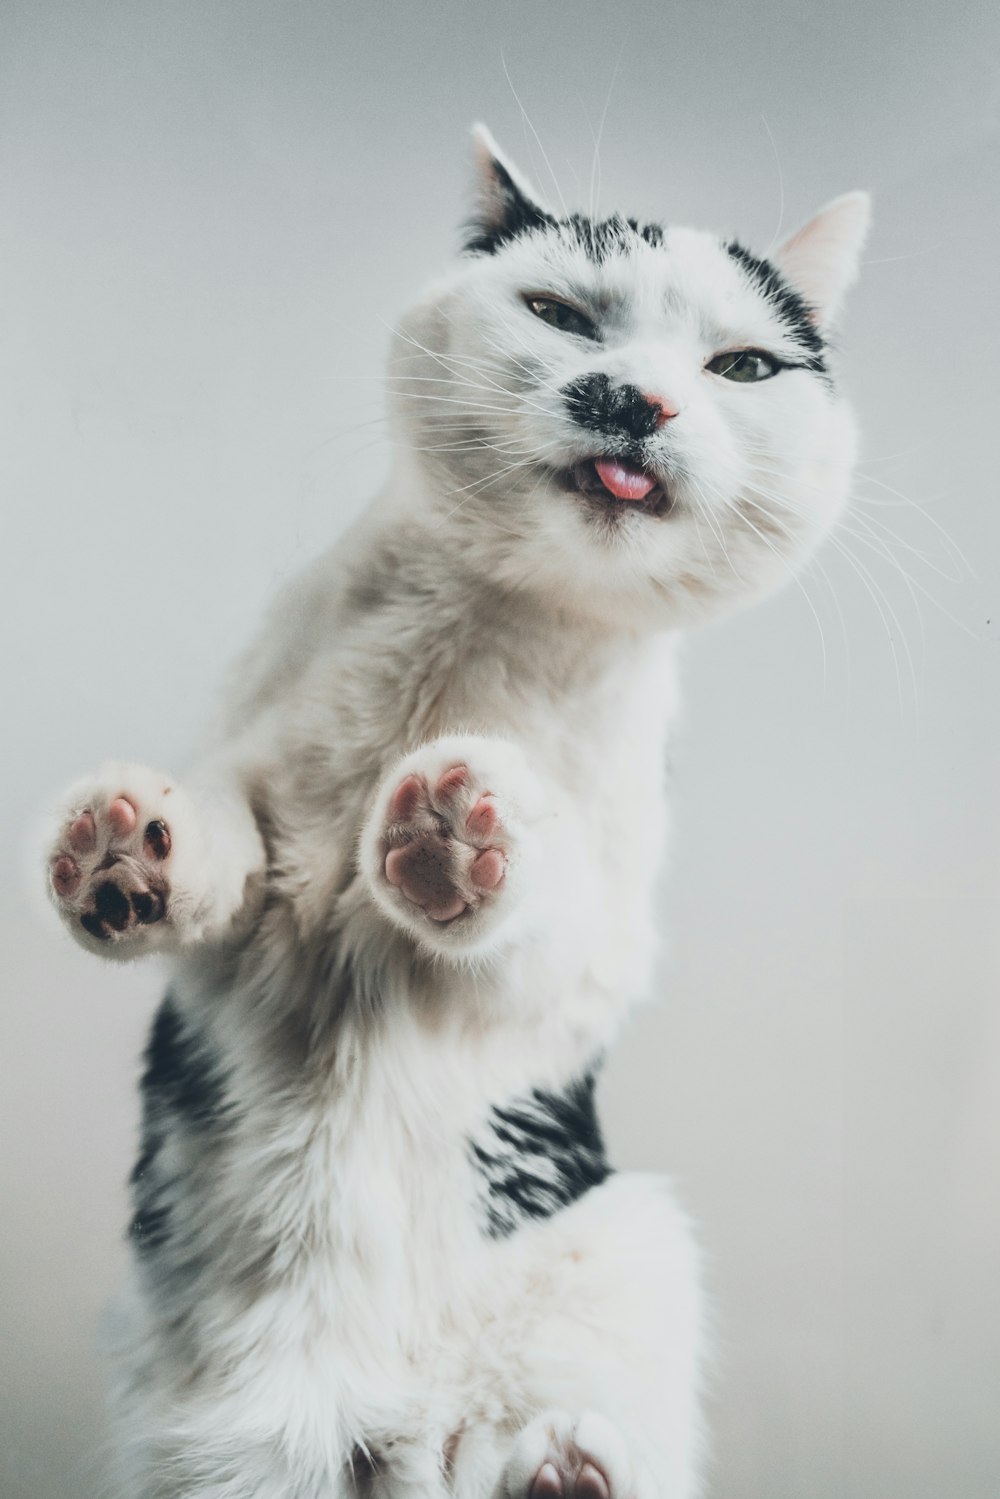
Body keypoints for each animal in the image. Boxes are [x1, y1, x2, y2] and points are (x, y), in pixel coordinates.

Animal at [43, 128, 869, 1499]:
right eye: (560, 314)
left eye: (740, 365)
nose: (635, 400)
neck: (474, 638)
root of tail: (366, 1429)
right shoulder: (252, 818)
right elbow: (219, 830)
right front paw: (123, 852)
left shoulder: (587, 954)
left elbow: (527, 920)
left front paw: (456, 833)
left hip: (630, 1239)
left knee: (540, 1436)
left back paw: (564, 1463)